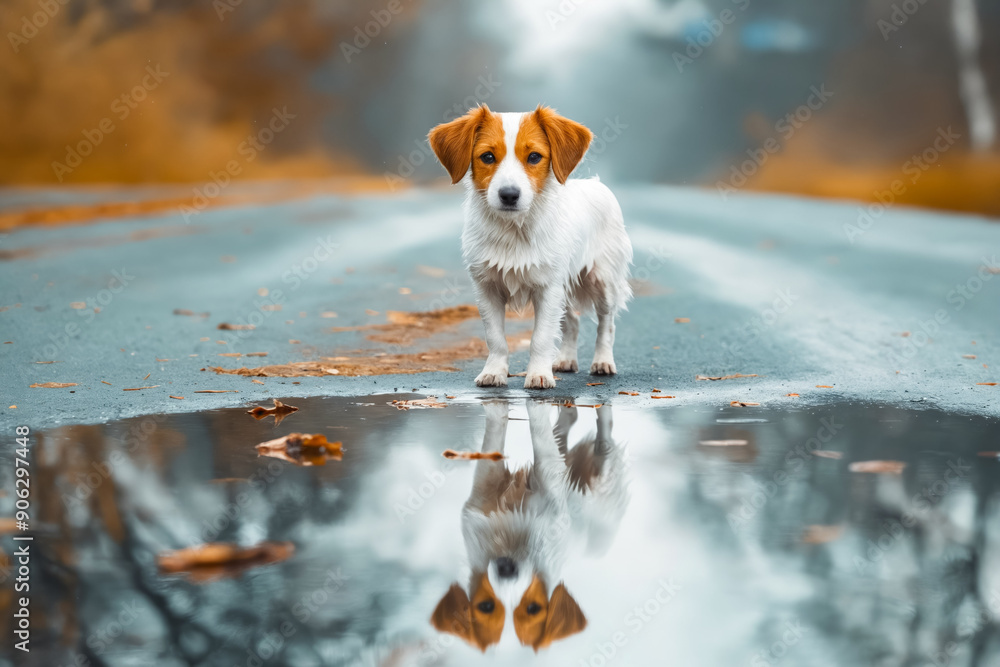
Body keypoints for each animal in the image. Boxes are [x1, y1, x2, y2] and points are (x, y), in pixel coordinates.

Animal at [430, 106, 632, 388]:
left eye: (534, 156)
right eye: (487, 156)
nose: (509, 194)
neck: (514, 229)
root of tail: (596, 182)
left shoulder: (548, 288)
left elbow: (541, 337)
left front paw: (538, 374)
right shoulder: (487, 287)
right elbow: (495, 337)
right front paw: (494, 372)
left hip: (603, 281)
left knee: (606, 324)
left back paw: (603, 361)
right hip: (564, 288)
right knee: (572, 323)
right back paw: (566, 359)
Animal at [432, 402, 632, 652]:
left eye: (533, 608)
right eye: (486, 606)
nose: (507, 569)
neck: (512, 545)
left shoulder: (551, 497)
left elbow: (538, 432)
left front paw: (534, 400)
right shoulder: (483, 494)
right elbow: (498, 425)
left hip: (603, 479)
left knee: (604, 433)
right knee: (567, 424)